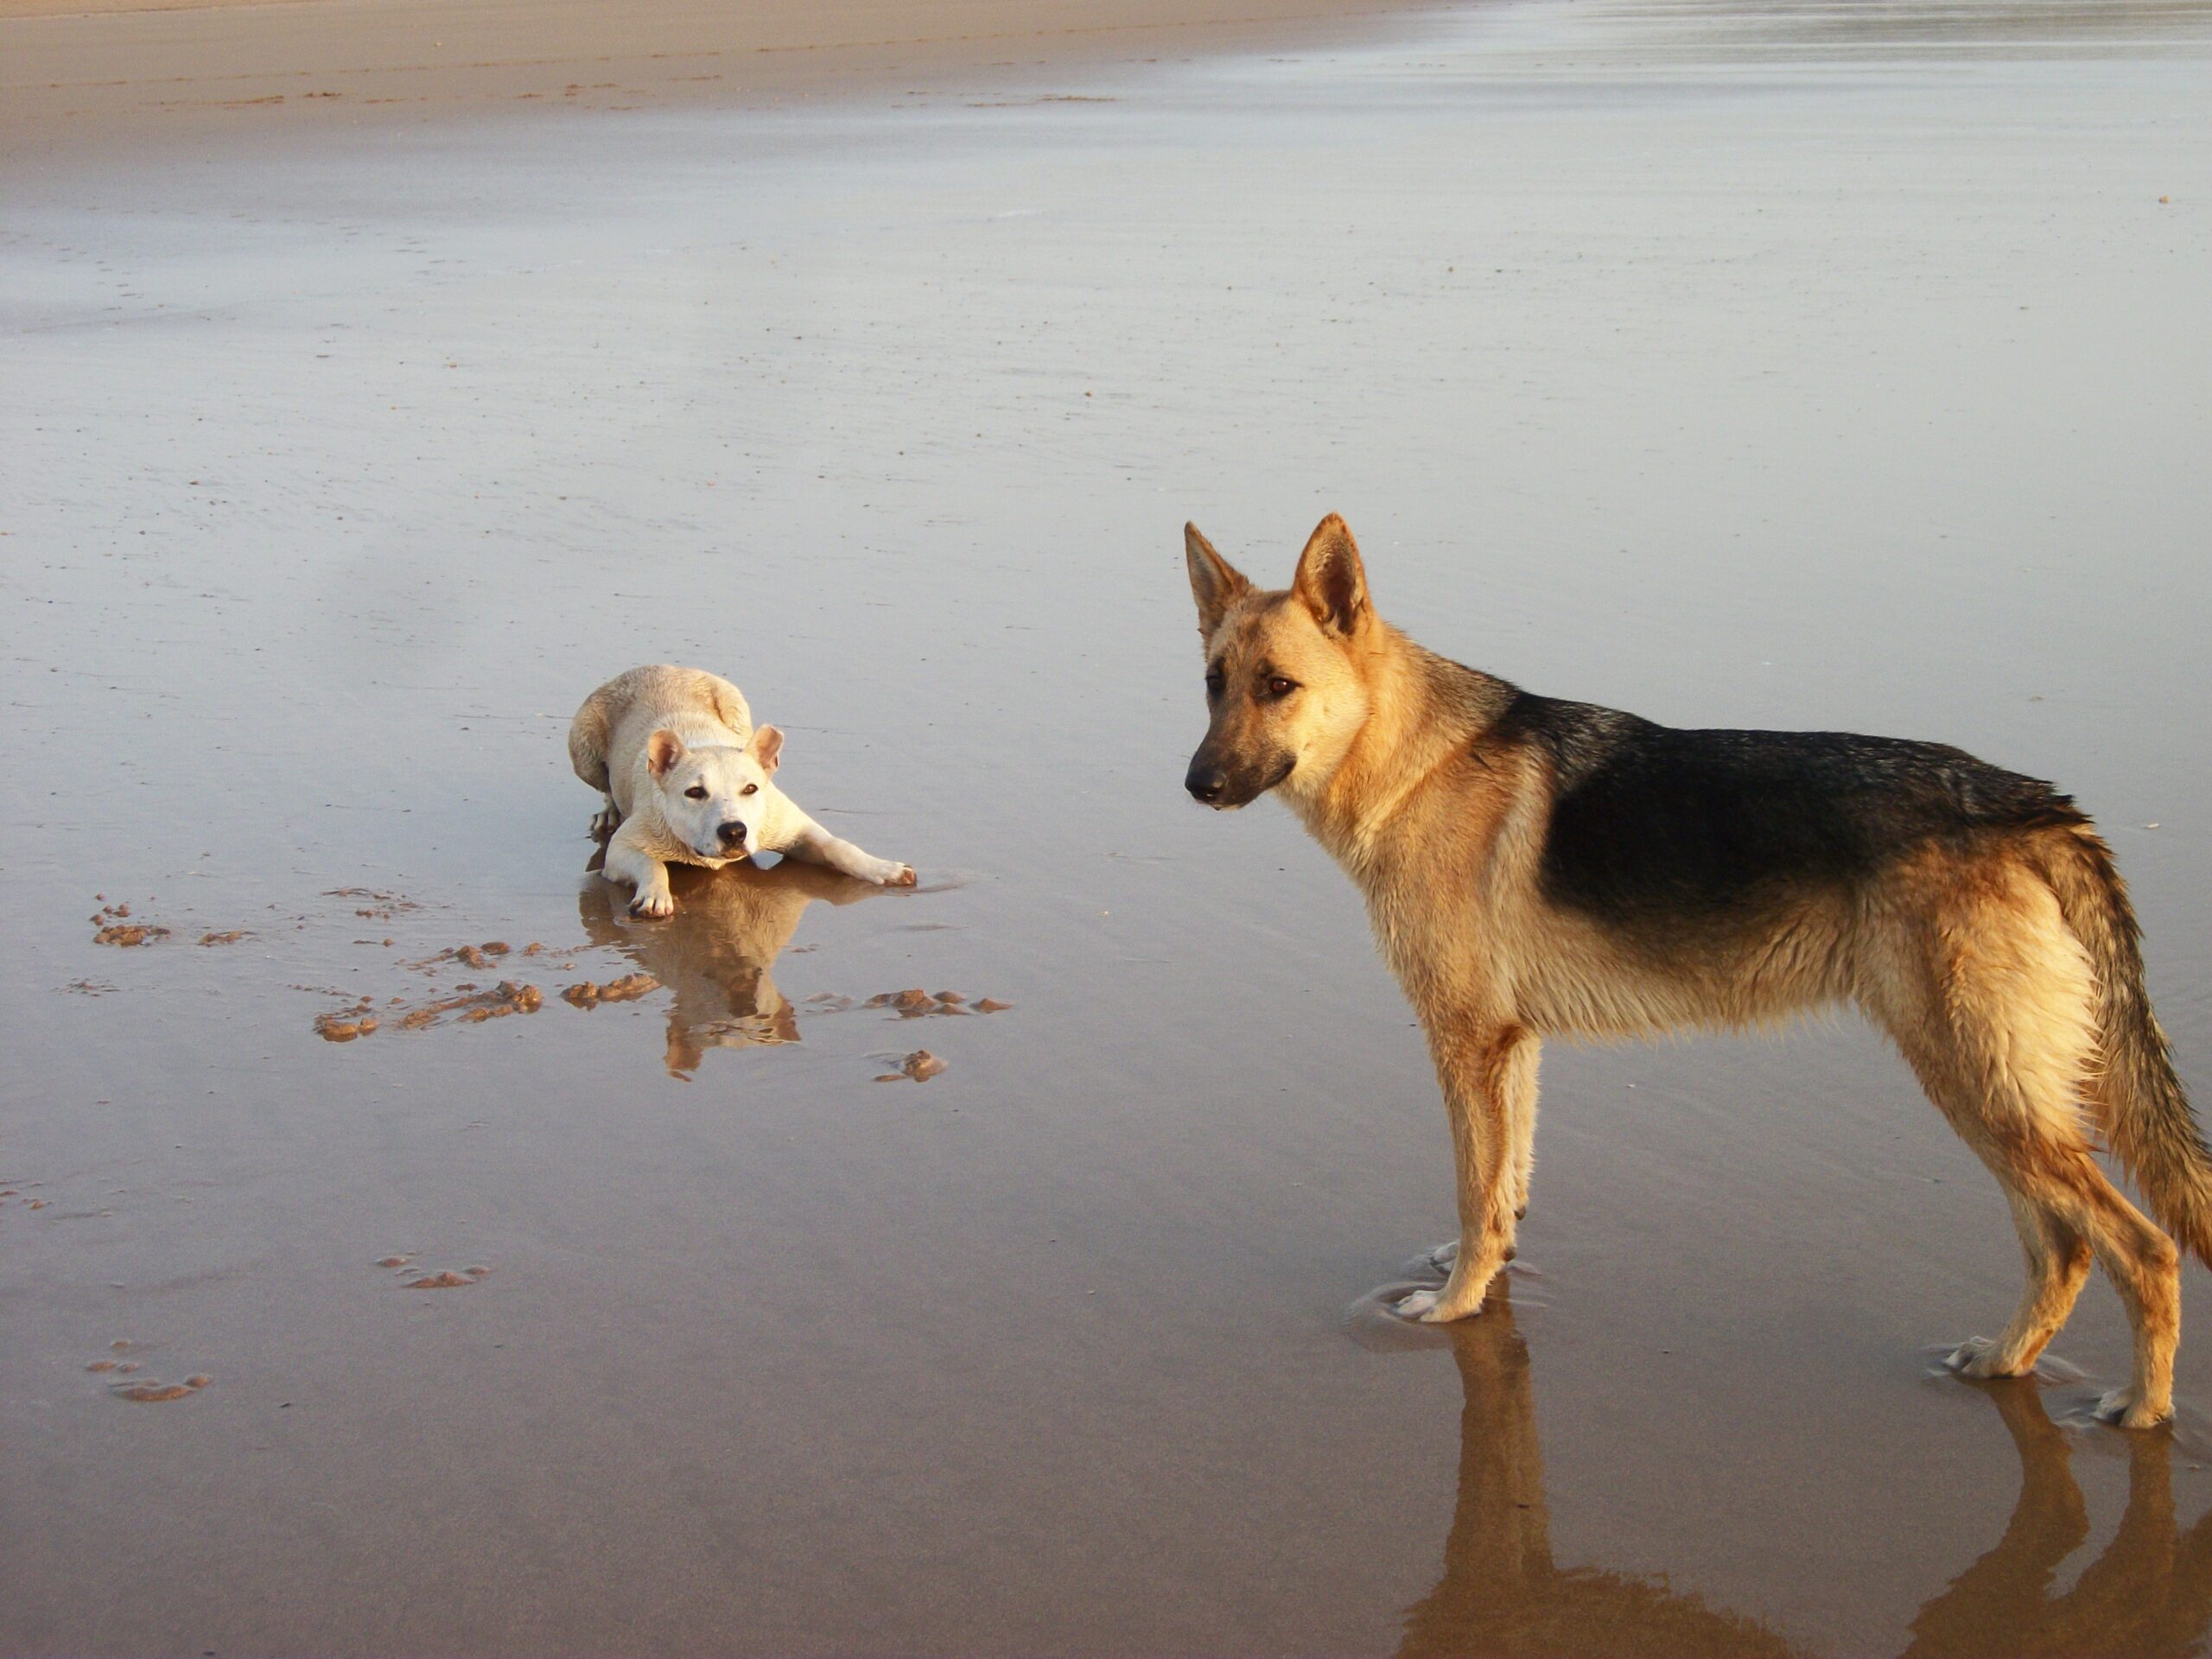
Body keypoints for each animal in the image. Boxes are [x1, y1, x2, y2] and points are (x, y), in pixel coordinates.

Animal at [575, 668, 919, 925]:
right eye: (694, 792)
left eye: (751, 789)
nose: (734, 832)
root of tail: (654, 667)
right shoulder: (625, 845)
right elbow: (651, 863)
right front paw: (655, 894)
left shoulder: (793, 828)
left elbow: (838, 846)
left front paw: (884, 869)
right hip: (582, 746)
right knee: (604, 786)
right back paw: (608, 813)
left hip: (735, 704)